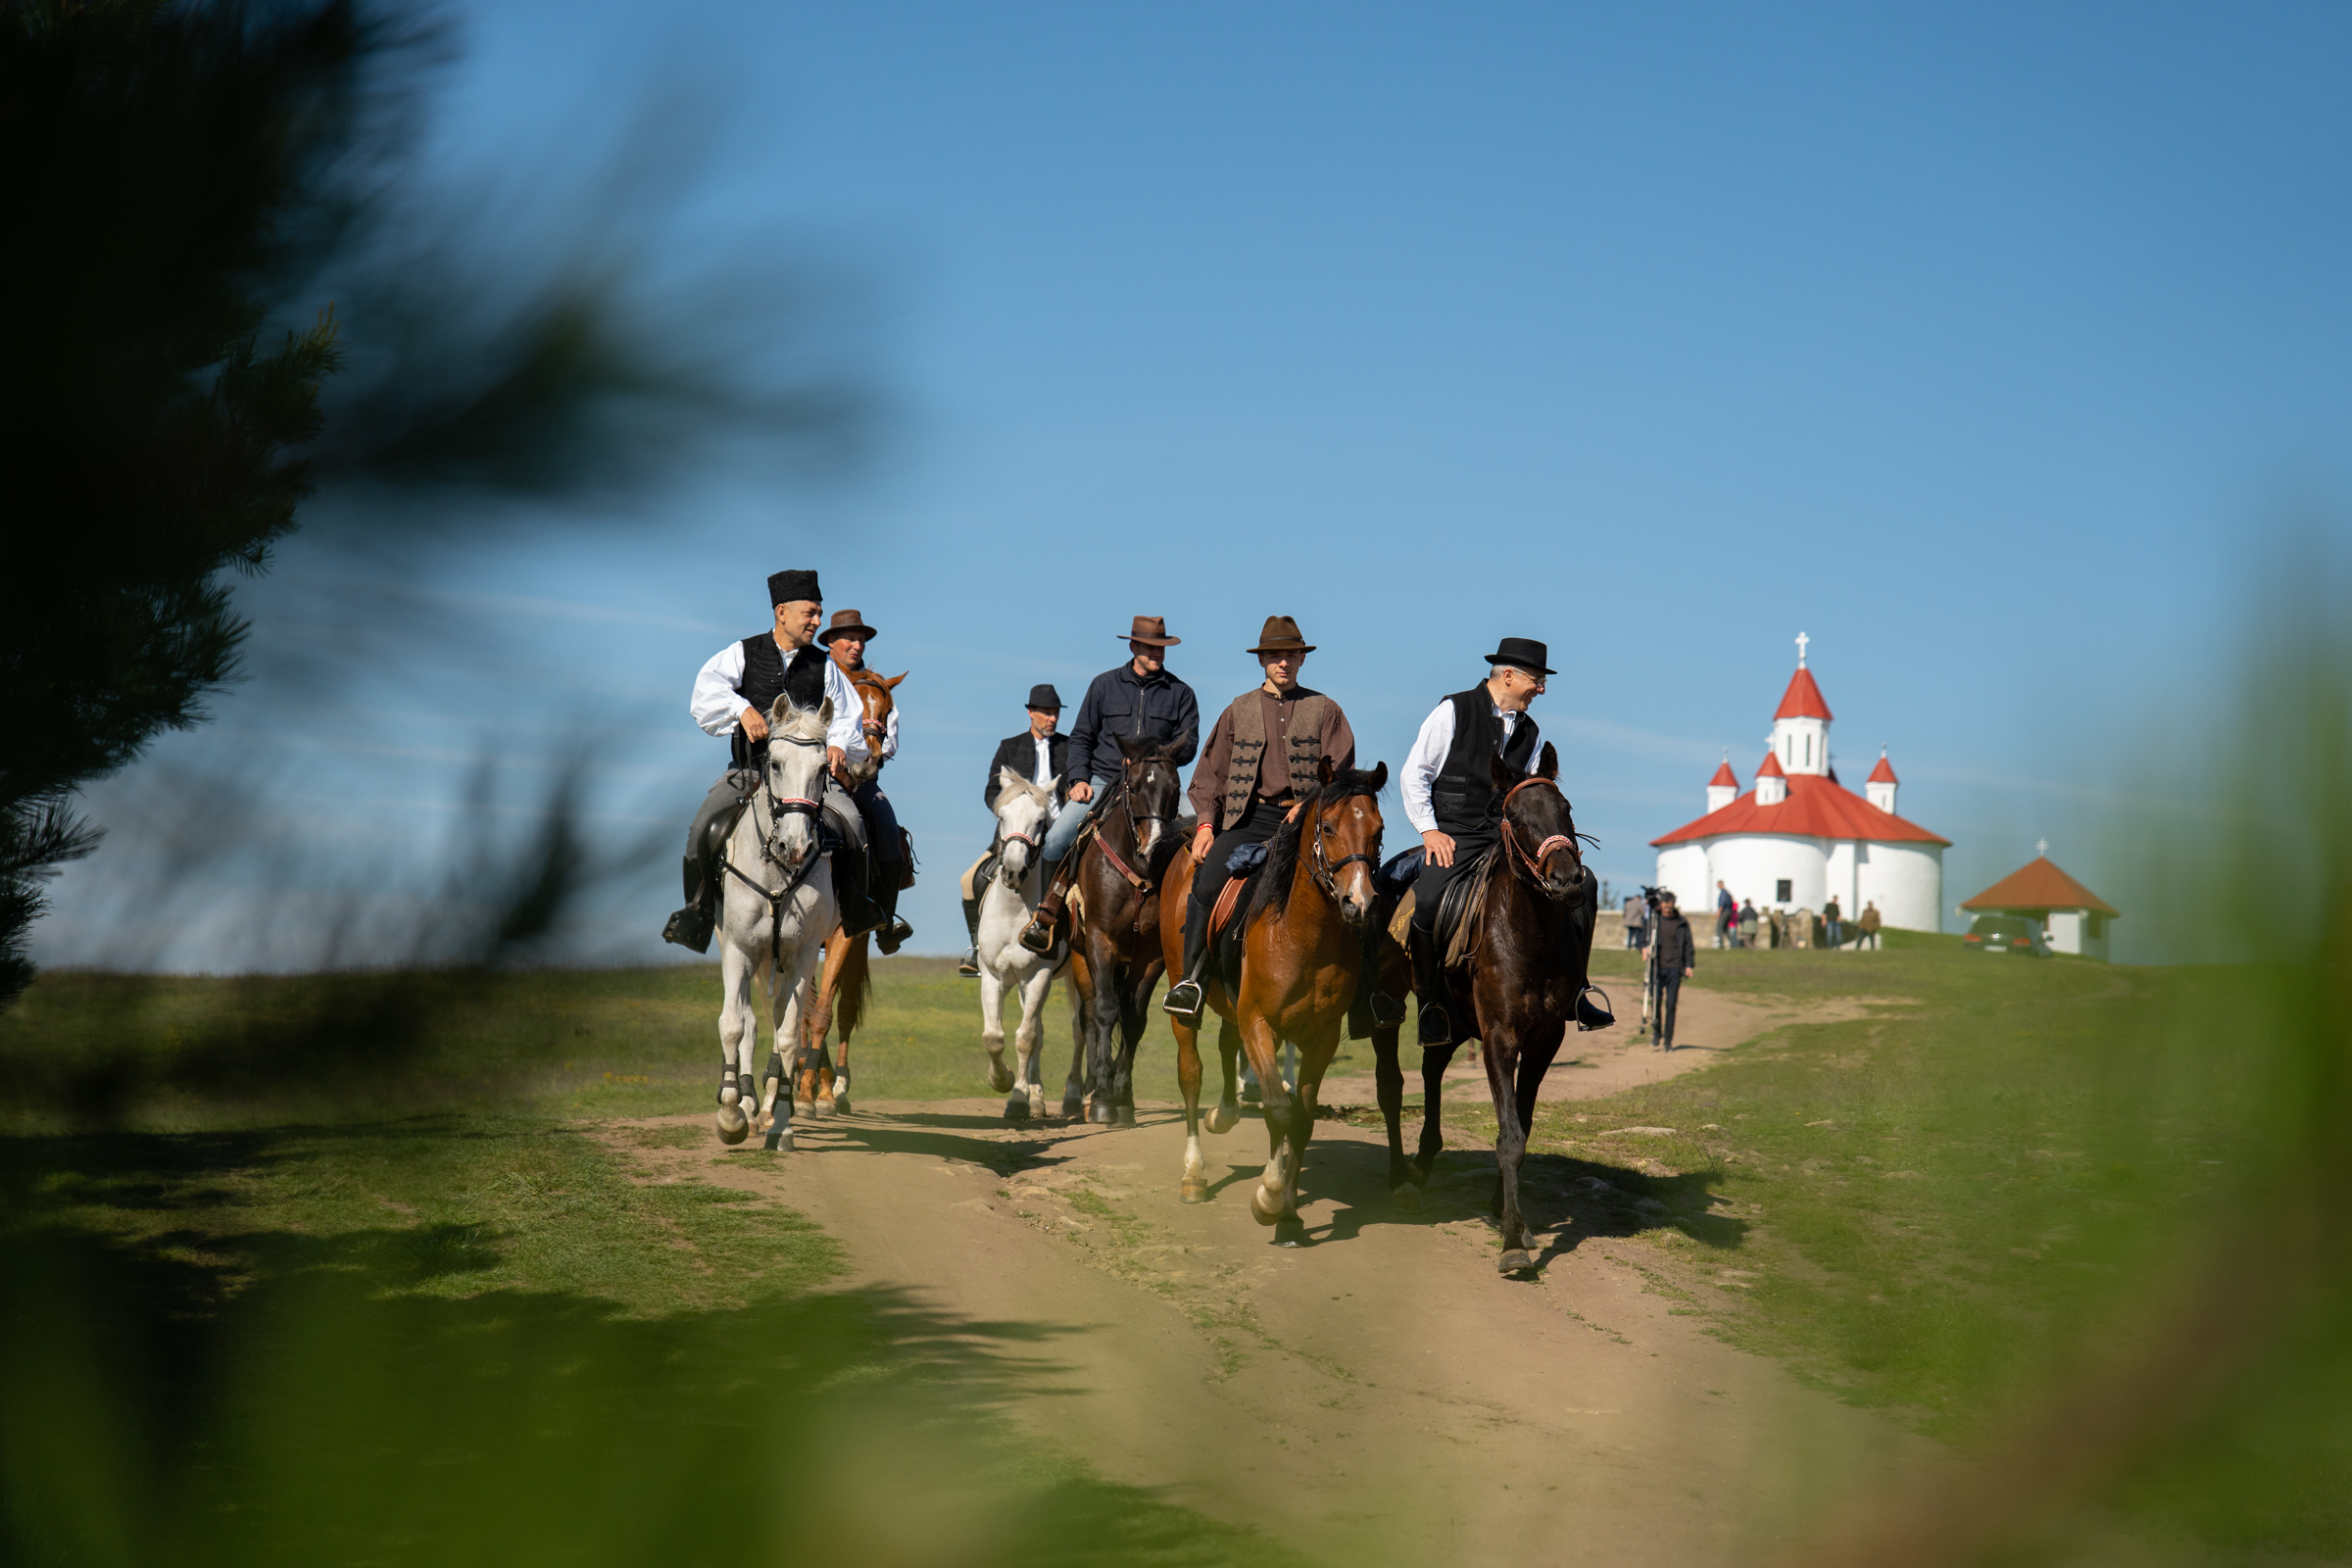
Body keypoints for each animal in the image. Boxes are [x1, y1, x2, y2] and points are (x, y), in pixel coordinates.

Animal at [710, 686, 842, 1152]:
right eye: (776, 763)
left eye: (823, 768)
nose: (794, 845)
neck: (777, 871)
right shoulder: (738, 950)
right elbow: (733, 1025)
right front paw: (731, 1115)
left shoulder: (801, 957)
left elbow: (787, 1035)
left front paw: (782, 1120)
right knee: (747, 1020)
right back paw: (745, 1103)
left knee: (777, 1019)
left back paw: (766, 1107)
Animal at [973, 770, 1082, 1114]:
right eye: (1002, 816)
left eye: (1040, 821)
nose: (1013, 870)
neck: (1012, 912)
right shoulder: (994, 976)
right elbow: (994, 1036)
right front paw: (1006, 1082)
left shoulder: (1038, 977)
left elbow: (1025, 1037)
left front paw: (1018, 1097)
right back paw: (1037, 1095)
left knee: (1081, 1028)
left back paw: (1078, 1095)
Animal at [1067, 738, 1195, 1128]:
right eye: (1133, 787)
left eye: (1175, 788)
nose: (1152, 847)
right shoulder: (1098, 941)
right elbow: (1106, 1011)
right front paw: (1103, 1095)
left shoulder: (1150, 956)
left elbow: (1134, 1018)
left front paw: (1123, 1094)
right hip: (1080, 959)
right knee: (1089, 1017)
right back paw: (1089, 1089)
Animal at [1152, 766, 1373, 1241]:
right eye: (1329, 829)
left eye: (1378, 831)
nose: (1358, 903)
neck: (1305, 937)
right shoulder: (1260, 1025)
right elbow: (1278, 1110)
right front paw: (1268, 1198)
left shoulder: (1322, 1038)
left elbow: (1302, 1119)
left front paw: (1288, 1215)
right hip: (1186, 1000)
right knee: (1191, 1074)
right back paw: (1194, 1173)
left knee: (1225, 1045)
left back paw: (1224, 1114)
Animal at [1373, 747, 1608, 1278]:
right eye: (1515, 818)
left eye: (1565, 809)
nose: (1567, 882)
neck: (1529, 938)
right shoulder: (1500, 1038)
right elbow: (1509, 1136)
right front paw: (1511, 1241)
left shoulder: (1544, 1043)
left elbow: (1521, 1126)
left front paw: (1507, 1214)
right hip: (1388, 1008)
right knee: (1392, 1087)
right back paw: (1399, 1179)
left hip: (1453, 1018)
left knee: (1433, 1068)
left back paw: (1425, 1159)